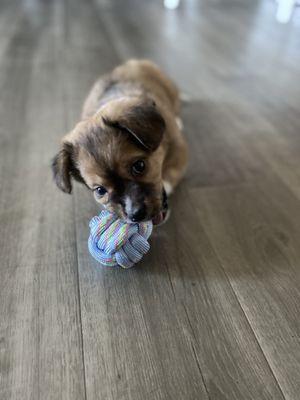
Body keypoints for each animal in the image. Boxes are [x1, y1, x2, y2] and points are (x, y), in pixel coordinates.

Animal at [51, 58, 188, 225]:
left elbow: (170, 174)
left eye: (139, 166)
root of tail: (137, 61)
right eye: (100, 190)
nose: (136, 214)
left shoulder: (179, 150)